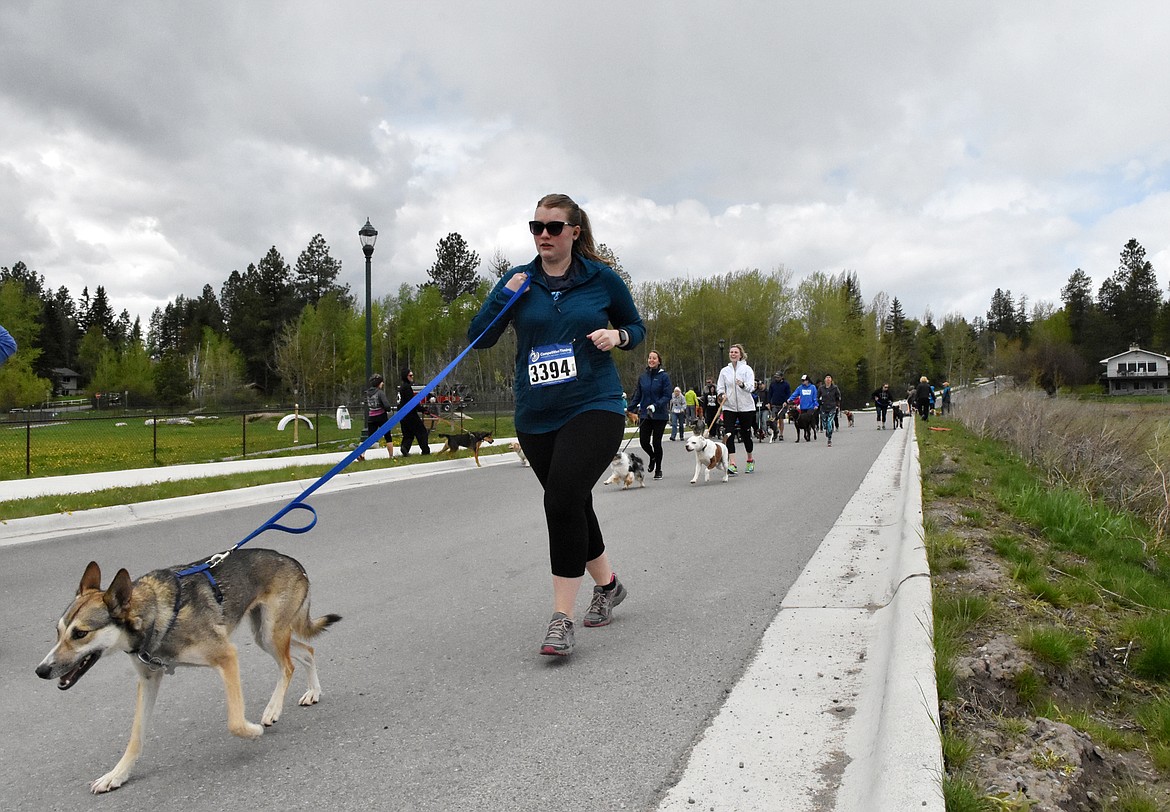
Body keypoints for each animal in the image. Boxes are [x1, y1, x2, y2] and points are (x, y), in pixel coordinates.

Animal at [36, 554, 339, 795]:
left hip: (271, 633)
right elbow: (135, 737)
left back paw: (273, 710)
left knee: (288, 665)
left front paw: (253, 731)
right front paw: (117, 775)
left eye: (80, 634)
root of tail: (293, 562)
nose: (41, 670)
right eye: (58, 631)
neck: (156, 615)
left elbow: (235, 723)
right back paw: (313, 692)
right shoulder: (148, 680)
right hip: (265, 636)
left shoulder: (227, 657)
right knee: (307, 651)